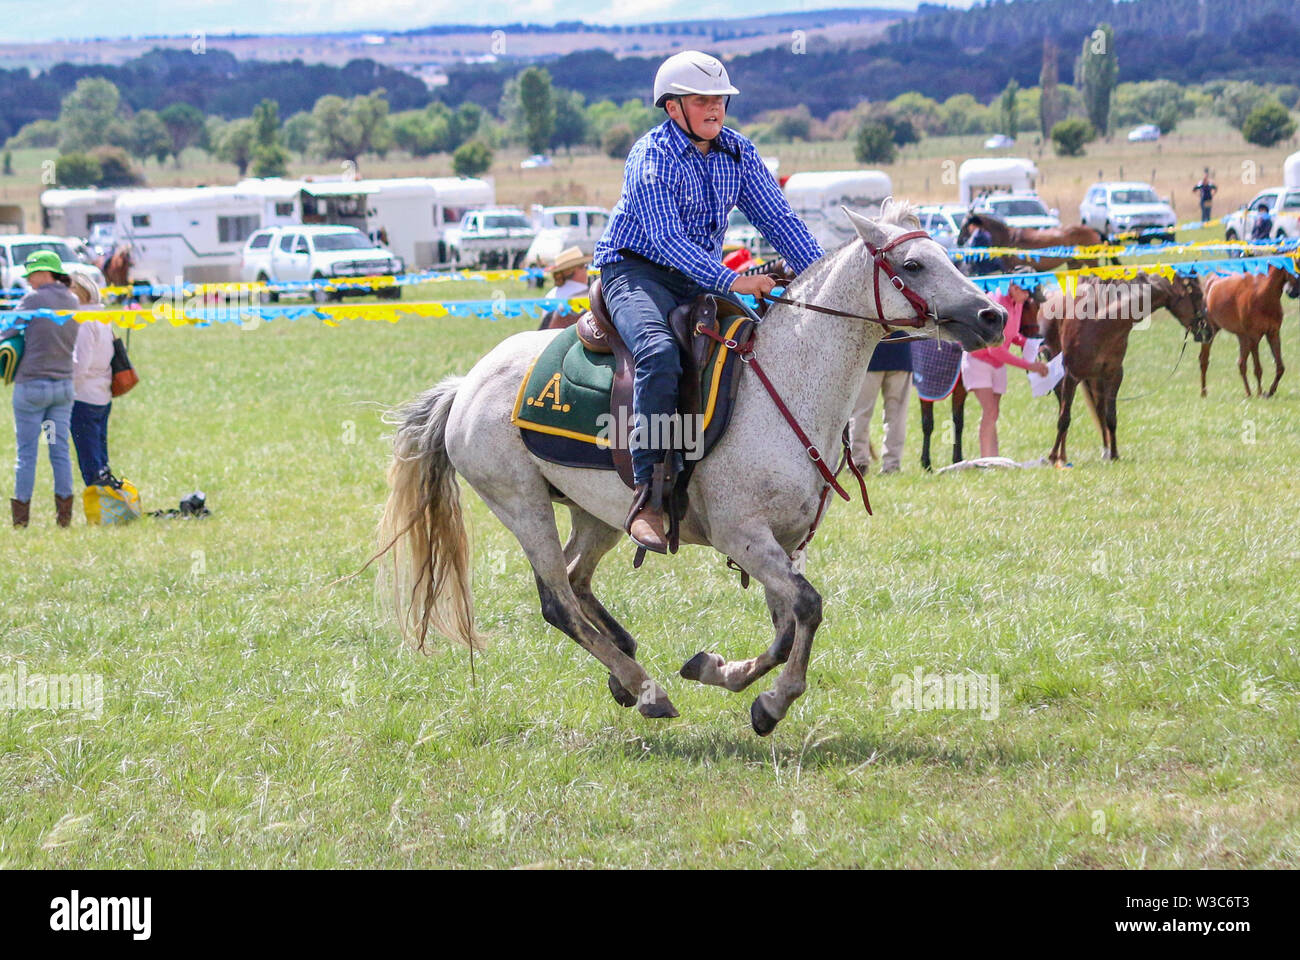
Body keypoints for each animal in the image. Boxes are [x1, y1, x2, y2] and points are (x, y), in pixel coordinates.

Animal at [956, 210, 1107, 267]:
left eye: (965, 225)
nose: (958, 241)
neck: (1007, 238)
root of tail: (1094, 231)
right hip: (1074, 263)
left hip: (1091, 262)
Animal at [1034, 270, 1206, 465]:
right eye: (1198, 295)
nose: (1207, 329)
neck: (1100, 320)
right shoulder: (1072, 376)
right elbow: (1064, 418)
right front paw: (1052, 456)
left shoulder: (1113, 375)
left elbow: (1110, 417)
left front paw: (1114, 454)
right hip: (1061, 378)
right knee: (1063, 411)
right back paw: (1062, 456)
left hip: (1095, 378)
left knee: (1099, 412)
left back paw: (1104, 450)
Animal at [1196, 264, 1300, 395]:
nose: (1293, 292)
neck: (1263, 294)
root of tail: (1210, 282)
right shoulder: (1254, 337)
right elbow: (1258, 369)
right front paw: (1260, 393)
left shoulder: (1273, 334)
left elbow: (1280, 367)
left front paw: (1270, 391)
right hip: (1210, 332)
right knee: (1204, 360)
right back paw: (1204, 393)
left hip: (1242, 336)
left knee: (1241, 364)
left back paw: (1248, 393)